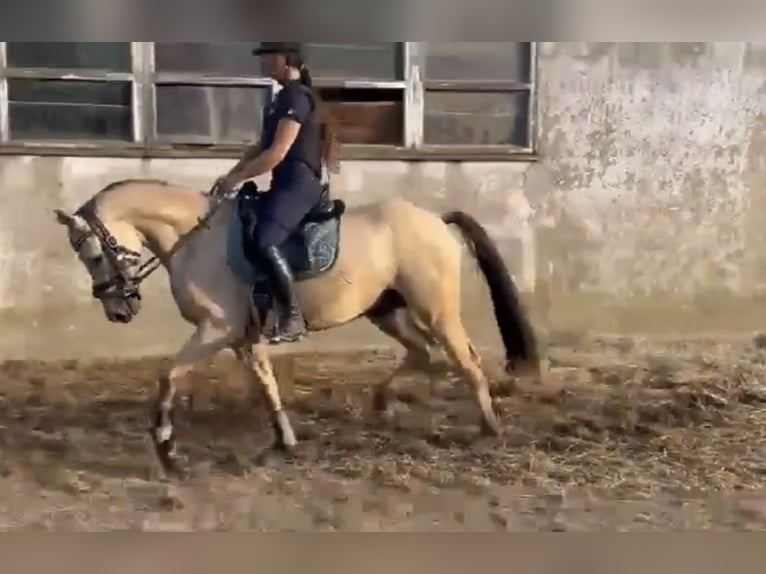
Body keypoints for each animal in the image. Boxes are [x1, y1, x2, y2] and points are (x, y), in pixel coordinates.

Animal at [52, 178, 540, 480]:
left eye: (93, 255)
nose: (120, 310)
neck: (195, 241)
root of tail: (436, 219)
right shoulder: (242, 338)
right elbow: (266, 385)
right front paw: (284, 442)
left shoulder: (215, 330)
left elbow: (167, 376)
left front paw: (167, 451)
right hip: (384, 310)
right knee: (422, 352)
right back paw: (381, 403)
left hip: (436, 310)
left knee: (465, 361)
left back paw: (489, 430)